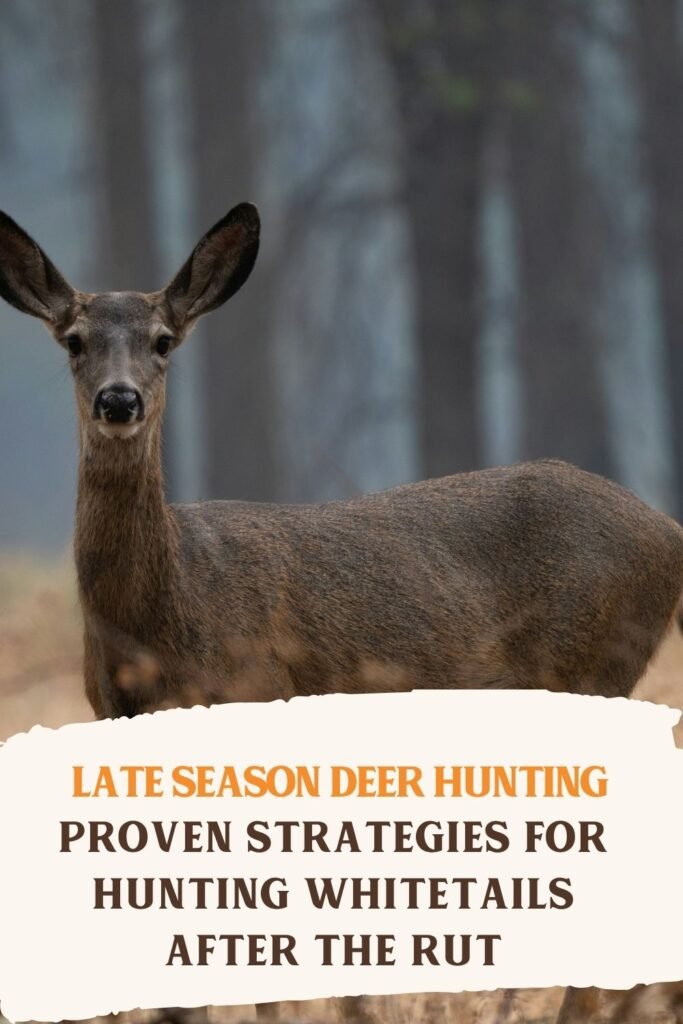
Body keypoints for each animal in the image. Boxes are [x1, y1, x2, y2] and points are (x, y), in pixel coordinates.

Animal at [1, 203, 682, 1024]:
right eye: (74, 340)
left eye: (163, 341)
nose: (119, 400)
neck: (167, 614)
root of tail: (669, 532)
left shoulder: (254, 697)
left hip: (595, 664)